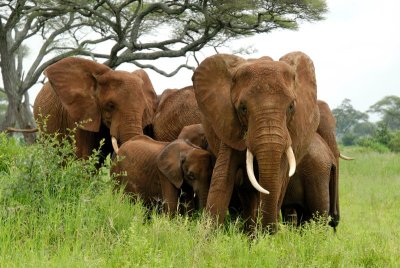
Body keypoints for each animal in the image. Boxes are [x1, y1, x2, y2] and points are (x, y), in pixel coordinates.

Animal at [192, 51, 320, 231]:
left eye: (291, 107)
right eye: (243, 108)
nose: (270, 232)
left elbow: (276, 179)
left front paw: (265, 237)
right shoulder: (228, 123)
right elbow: (222, 176)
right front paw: (207, 236)